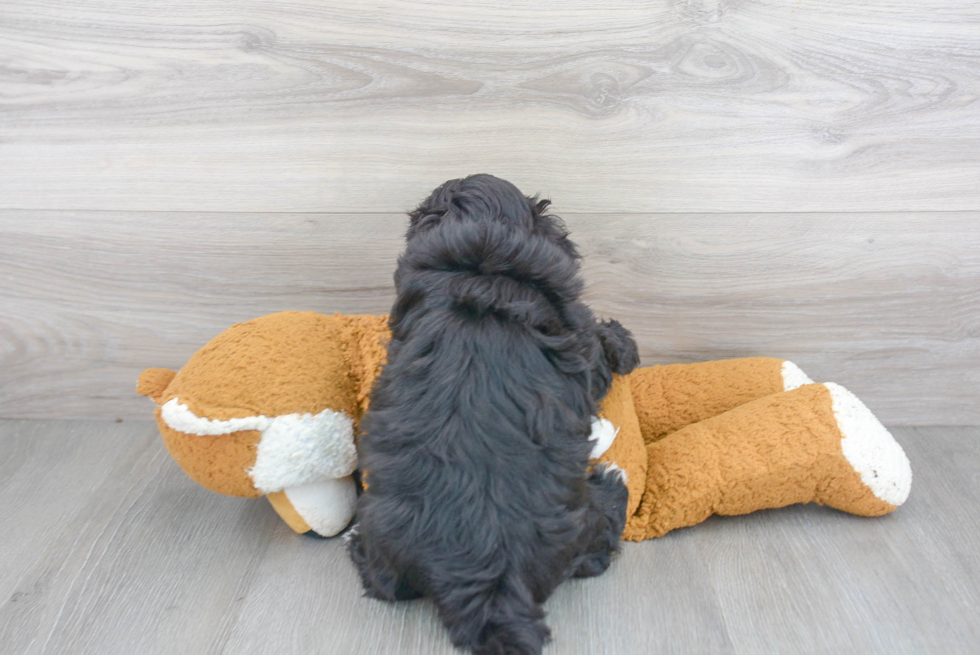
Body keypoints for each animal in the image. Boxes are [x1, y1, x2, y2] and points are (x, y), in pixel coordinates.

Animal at [348, 176, 640, 655]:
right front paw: (624, 341)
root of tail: (488, 582)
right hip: (582, 519)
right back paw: (614, 482)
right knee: (599, 542)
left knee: (383, 582)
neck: (481, 270)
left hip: (382, 527)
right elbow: (598, 346)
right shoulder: (577, 337)